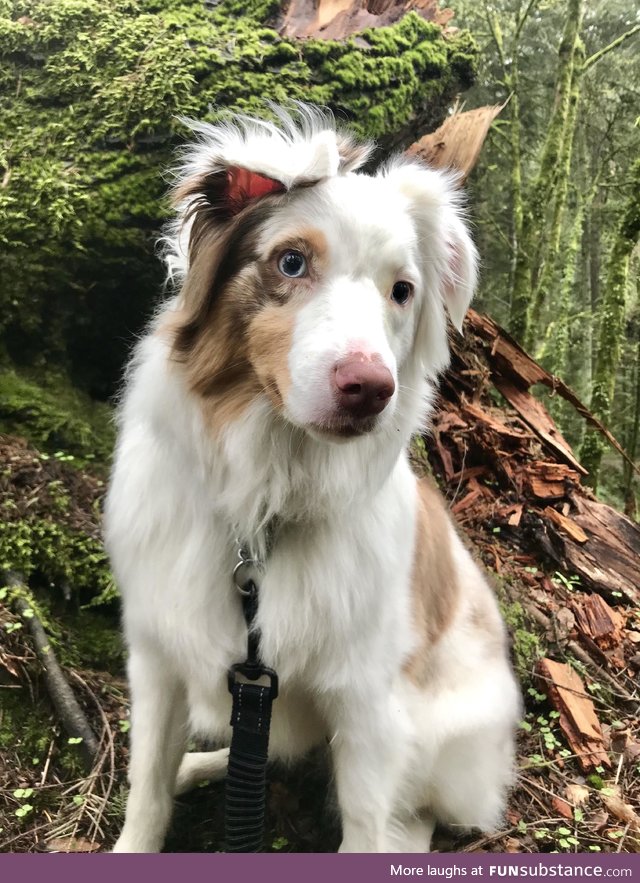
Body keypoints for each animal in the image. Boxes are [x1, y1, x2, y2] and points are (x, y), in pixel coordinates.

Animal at [105, 105, 524, 856]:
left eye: (401, 291)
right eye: (292, 262)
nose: (371, 390)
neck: (267, 492)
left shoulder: (367, 704)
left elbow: (363, 822)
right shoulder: (158, 653)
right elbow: (146, 781)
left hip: (433, 735)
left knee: (411, 814)